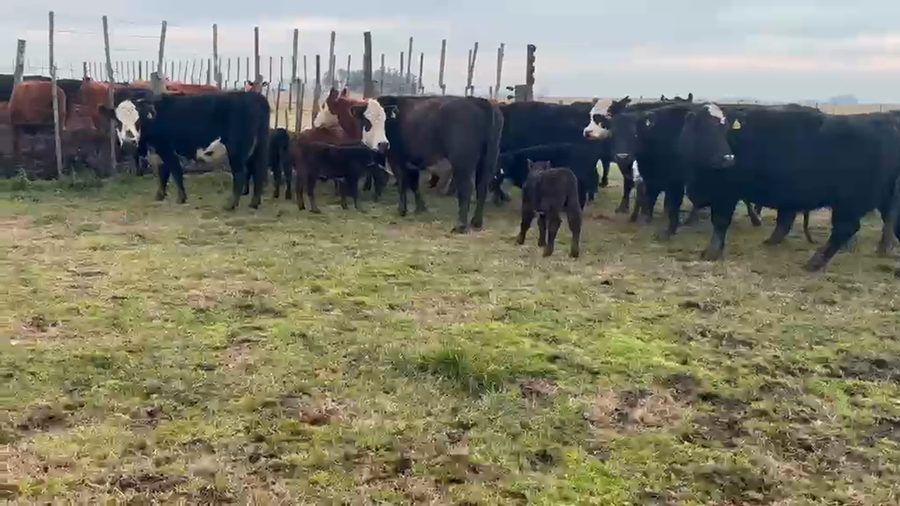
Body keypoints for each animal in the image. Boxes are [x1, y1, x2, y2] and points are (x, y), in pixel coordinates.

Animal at [99, 91, 271, 210]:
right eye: (118, 122)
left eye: (138, 120)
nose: (129, 142)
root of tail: (255, 96)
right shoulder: (159, 152)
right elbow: (162, 174)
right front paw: (160, 196)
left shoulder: (167, 149)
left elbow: (175, 172)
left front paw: (181, 198)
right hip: (259, 148)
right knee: (259, 172)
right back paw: (254, 203)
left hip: (237, 151)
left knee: (241, 175)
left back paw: (231, 205)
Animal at [377, 95, 503, 233]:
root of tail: (477, 100)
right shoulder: (412, 162)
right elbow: (414, 184)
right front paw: (421, 208)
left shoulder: (396, 158)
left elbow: (402, 182)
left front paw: (402, 210)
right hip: (488, 158)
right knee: (482, 187)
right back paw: (476, 222)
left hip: (462, 161)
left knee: (466, 188)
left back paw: (461, 225)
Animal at [689, 107, 900, 271]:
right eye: (701, 129)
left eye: (724, 129)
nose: (726, 158)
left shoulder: (726, 193)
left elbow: (720, 222)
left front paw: (711, 253)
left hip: (850, 201)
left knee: (845, 228)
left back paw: (814, 262)